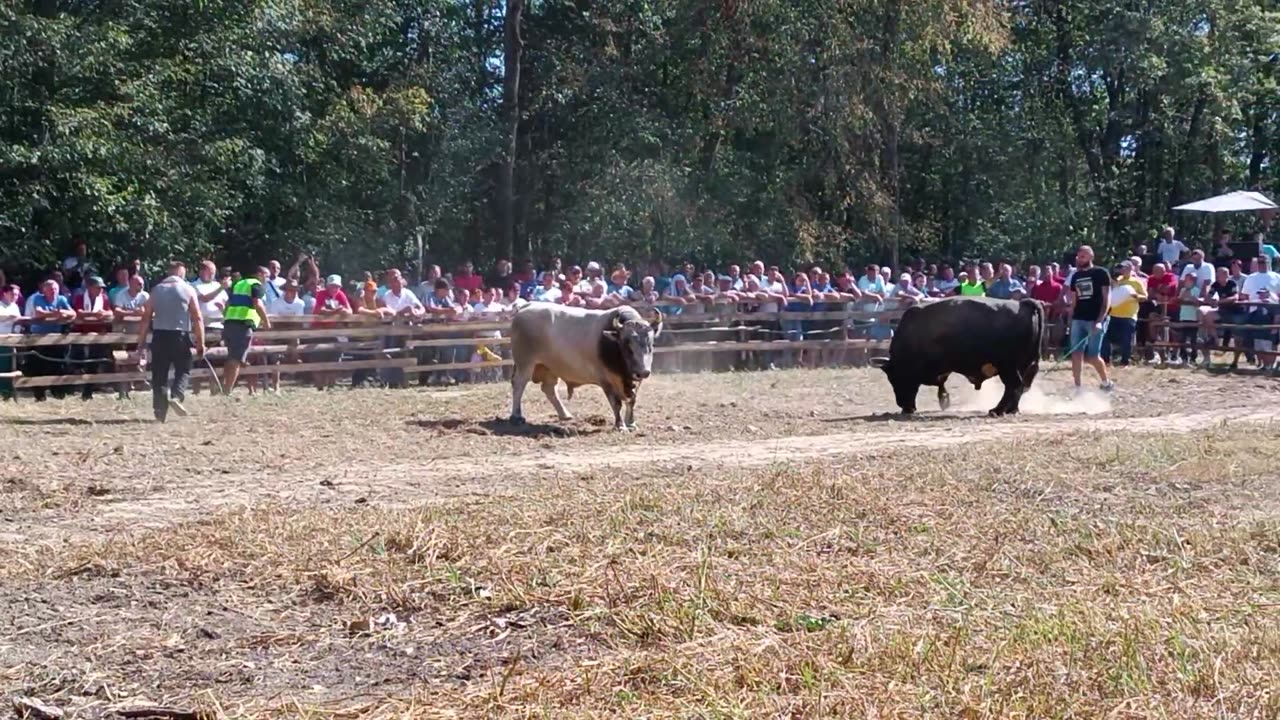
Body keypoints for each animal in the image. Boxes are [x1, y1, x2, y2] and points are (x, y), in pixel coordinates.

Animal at [509, 301, 665, 427]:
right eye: (627, 345)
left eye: (650, 344)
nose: (643, 372)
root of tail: (526, 306)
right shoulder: (606, 381)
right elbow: (616, 403)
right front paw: (620, 425)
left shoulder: (634, 380)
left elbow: (632, 400)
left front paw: (631, 423)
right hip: (525, 363)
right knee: (519, 384)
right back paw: (516, 416)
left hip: (549, 367)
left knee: (549, 389)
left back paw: (564, 414)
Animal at [870, 293, 1039, 412]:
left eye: (893, 377)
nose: (902, 405)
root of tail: (1023, 304)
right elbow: (941, 384)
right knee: (1018, 387)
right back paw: (1011, 409)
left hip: (1008, 367)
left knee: (1014, 386)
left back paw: (998, 410)